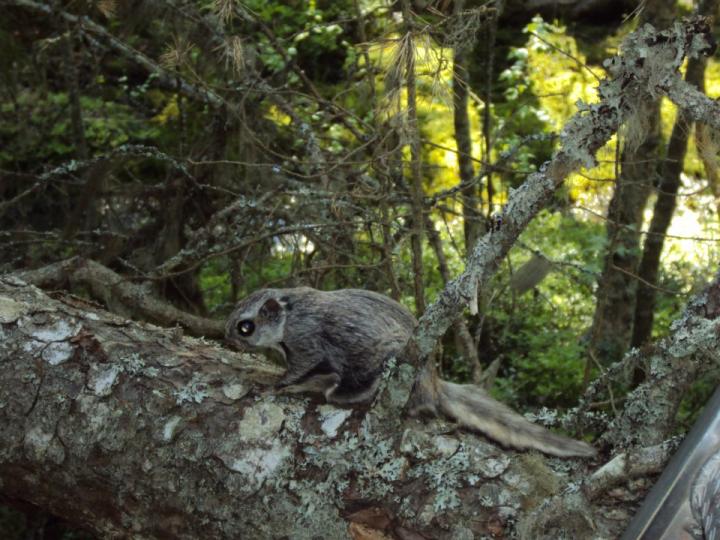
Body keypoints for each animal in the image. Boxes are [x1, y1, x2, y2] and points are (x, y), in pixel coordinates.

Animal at [226, 287, 596, 458]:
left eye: (245, 327)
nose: (228, 337)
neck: (289, 311)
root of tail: (433, 383)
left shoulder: (307, 342)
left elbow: (296, 371)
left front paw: (277, 384)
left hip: (380, 359)